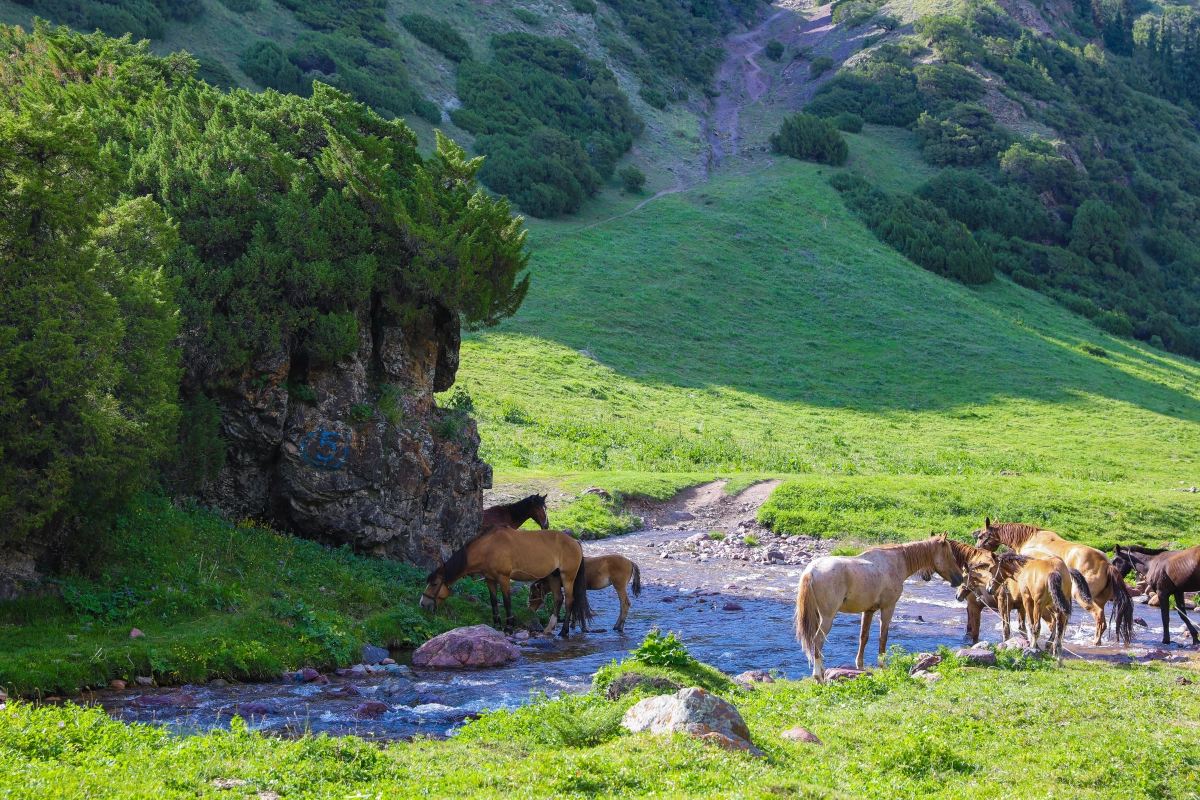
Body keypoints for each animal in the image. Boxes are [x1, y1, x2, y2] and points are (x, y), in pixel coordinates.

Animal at [422, 525, 590, 638]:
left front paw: (509, 627)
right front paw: (497, 625)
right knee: (558, 599)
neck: (489, 548)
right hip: (553, 576)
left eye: (435, 584)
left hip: (567, 577)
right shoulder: (489, 579)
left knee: (569, 601)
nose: (423, 604)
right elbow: (494, 601)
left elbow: (507, 601)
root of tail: (574, 542)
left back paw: (564, 631)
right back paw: (549, 628)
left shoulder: (504, 578)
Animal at [796, 537, 964, 681]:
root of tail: (811, 571)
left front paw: (860, 667)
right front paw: (883, 665)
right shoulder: (888, 607)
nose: (960, 579)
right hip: (827, 618)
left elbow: (863, 637)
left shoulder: (868, 611)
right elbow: (883, 636)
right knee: (818, 640)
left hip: (817, 616)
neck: (895, 562)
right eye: (949, 555)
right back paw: (818, 677)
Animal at [969, 520, 1128, 642]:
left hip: (1082, 597)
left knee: (1098, 615)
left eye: (981, 535)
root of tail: (1107, 564)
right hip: (1099, 599)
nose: (977, 550)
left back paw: (1095, 641)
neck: (1028, 539)